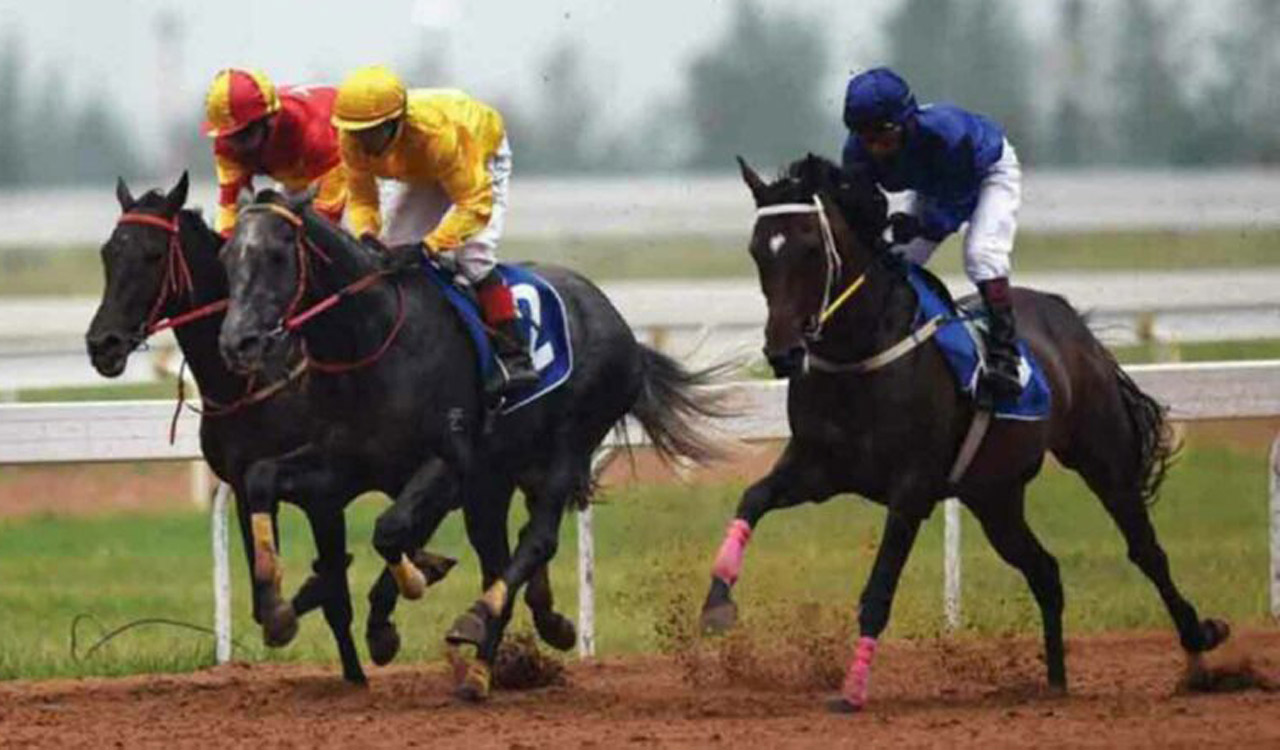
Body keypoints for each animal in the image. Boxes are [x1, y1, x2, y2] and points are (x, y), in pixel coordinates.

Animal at [84, 173, 569, 683]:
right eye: (108, 253)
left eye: (153, 255)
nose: (103, 344)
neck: (256, 382)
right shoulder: (248, 483)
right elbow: (279, 586)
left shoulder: (326, 495)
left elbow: (335, 581)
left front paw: (356, 644)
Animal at [217, 190, 726, 700]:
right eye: (227, 256)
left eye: (277, 255)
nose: (237, 342)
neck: (374, 337)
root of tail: (621, 327)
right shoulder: (345, 463)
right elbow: (262, 478)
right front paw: (277, 608)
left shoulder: (448, 464)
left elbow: (390, 529)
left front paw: (400, 601)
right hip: (496, 482)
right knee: (500, 555)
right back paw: (491, 662)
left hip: (567, 447)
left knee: (536, 540)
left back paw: (480, 622)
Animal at [697, 154, 1229, 712]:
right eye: (758, 249)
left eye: (808, 246)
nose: (782, 353)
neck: (861, 355)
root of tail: (1070, 319)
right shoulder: (816, 468)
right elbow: (752, 499)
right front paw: (717, 604)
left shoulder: (911, 490)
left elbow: (878, 590)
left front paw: (853, 688)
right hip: (994, 495)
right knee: (1045, 570)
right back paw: (1056, 681)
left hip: (1099, 456)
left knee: (1146, 551)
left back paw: (1197, 649)